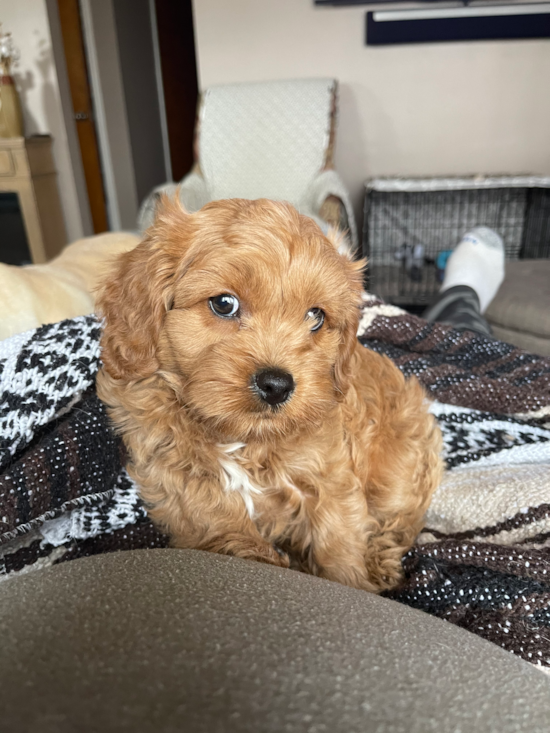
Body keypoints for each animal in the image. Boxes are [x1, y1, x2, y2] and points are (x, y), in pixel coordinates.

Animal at [98, 197, 444, 592]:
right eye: (224, 304)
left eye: (315, 317)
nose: (277, 385)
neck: (243, 440)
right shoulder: (180, 486)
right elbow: (223, 528)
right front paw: (262, 556)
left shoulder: (331, 482)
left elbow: (338, 546)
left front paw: (350, 582)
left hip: (399, 469)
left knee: (403, 519)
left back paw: (381, 560)